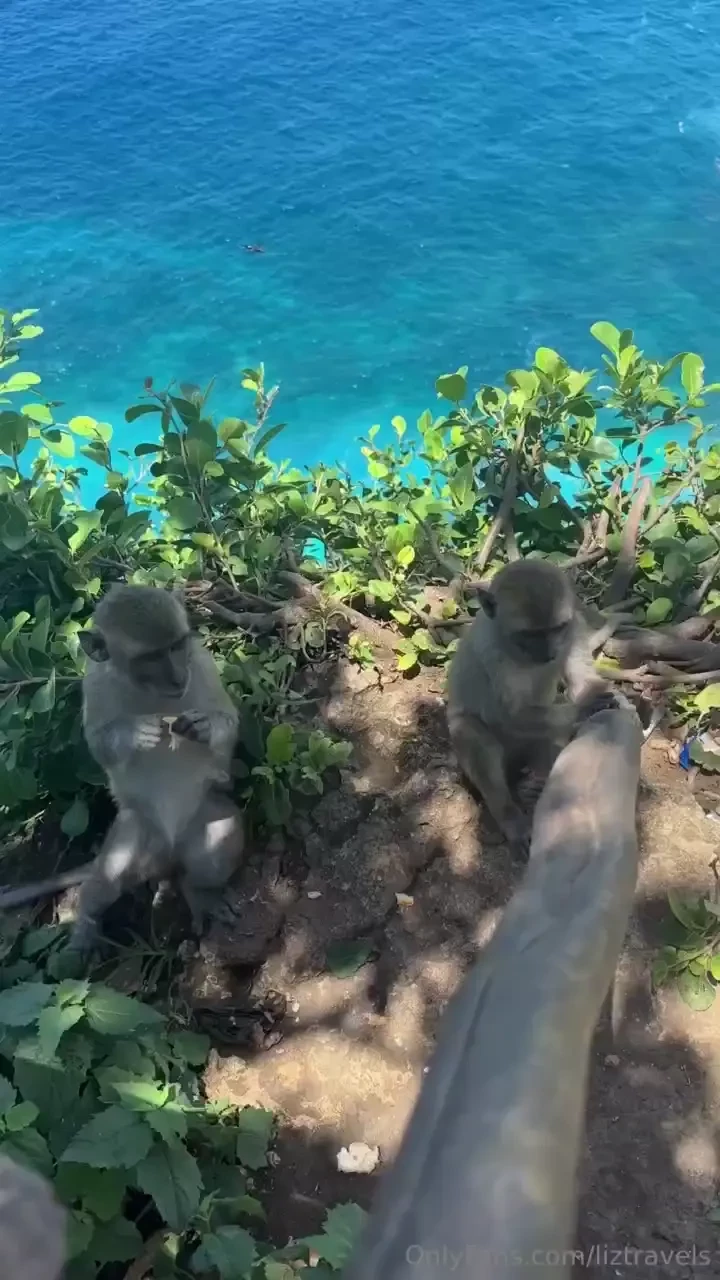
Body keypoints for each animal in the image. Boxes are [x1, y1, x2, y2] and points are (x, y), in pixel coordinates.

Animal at [61, 583, 244, 953]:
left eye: (175, 646)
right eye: (150, 658)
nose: (177, 676)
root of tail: (169, 853)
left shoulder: (200, 662)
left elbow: (229, 721)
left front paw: (205, 727)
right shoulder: (95, 682)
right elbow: (98, 744)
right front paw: (134, 732)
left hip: (202, 820)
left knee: (218, 845)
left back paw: (198, 891)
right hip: (140, 831)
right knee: (108, 875)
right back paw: (84, 932)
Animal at [446, 559, 612, 859]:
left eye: (556, 628)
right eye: (529, 634)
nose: (549, 653)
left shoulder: (574, 628)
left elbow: (582, 681)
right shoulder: (492, 653)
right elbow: (506, 716)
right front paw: (583, 709)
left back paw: (537, 784)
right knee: (472, 731)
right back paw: (509, 815)